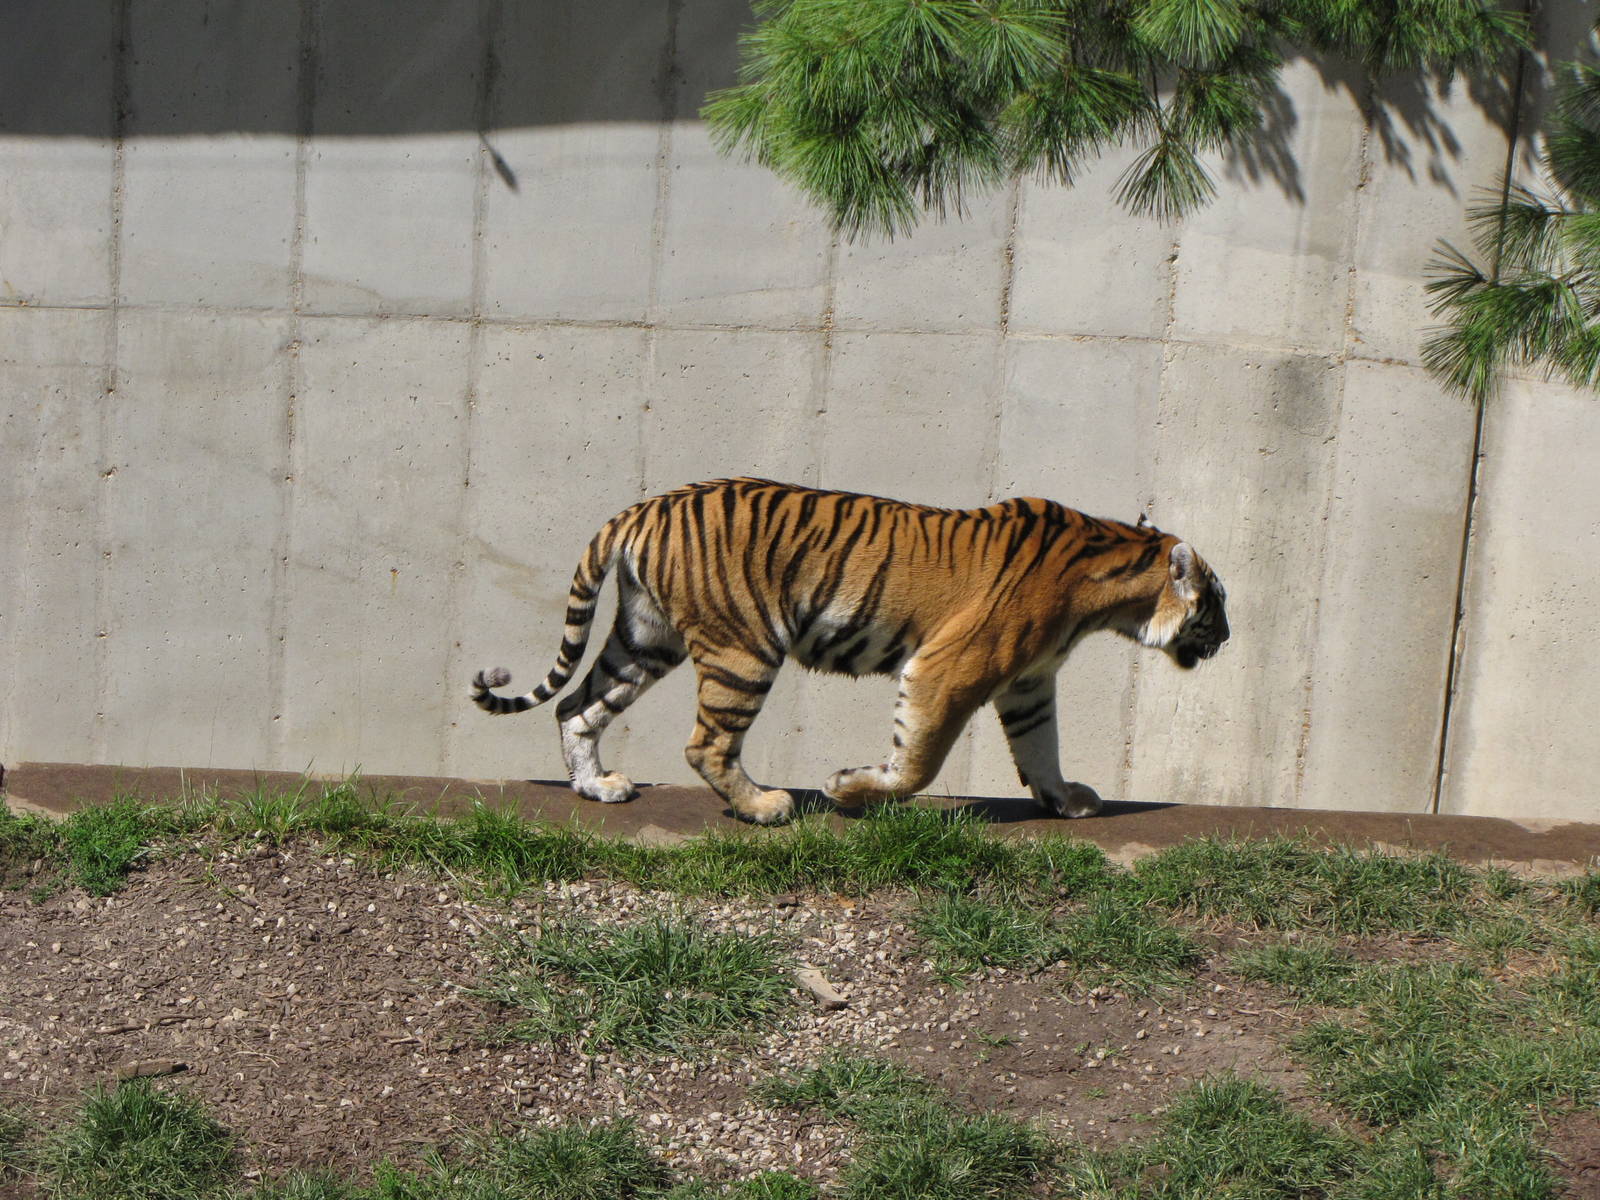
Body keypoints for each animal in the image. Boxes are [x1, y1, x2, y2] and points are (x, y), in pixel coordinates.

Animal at [472, 477, 1228, 825]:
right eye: (1217, 601)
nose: (1226, 639)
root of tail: (640, 508)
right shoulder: (949, 668)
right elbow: (917, 762)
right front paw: (848, 788)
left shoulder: (1028, 683)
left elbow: (1041, 748)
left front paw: (1065, 798)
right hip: (743, 648)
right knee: (705, 743)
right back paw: (764, 806)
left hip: (644, 639)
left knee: (576, 705)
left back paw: (598, 786)